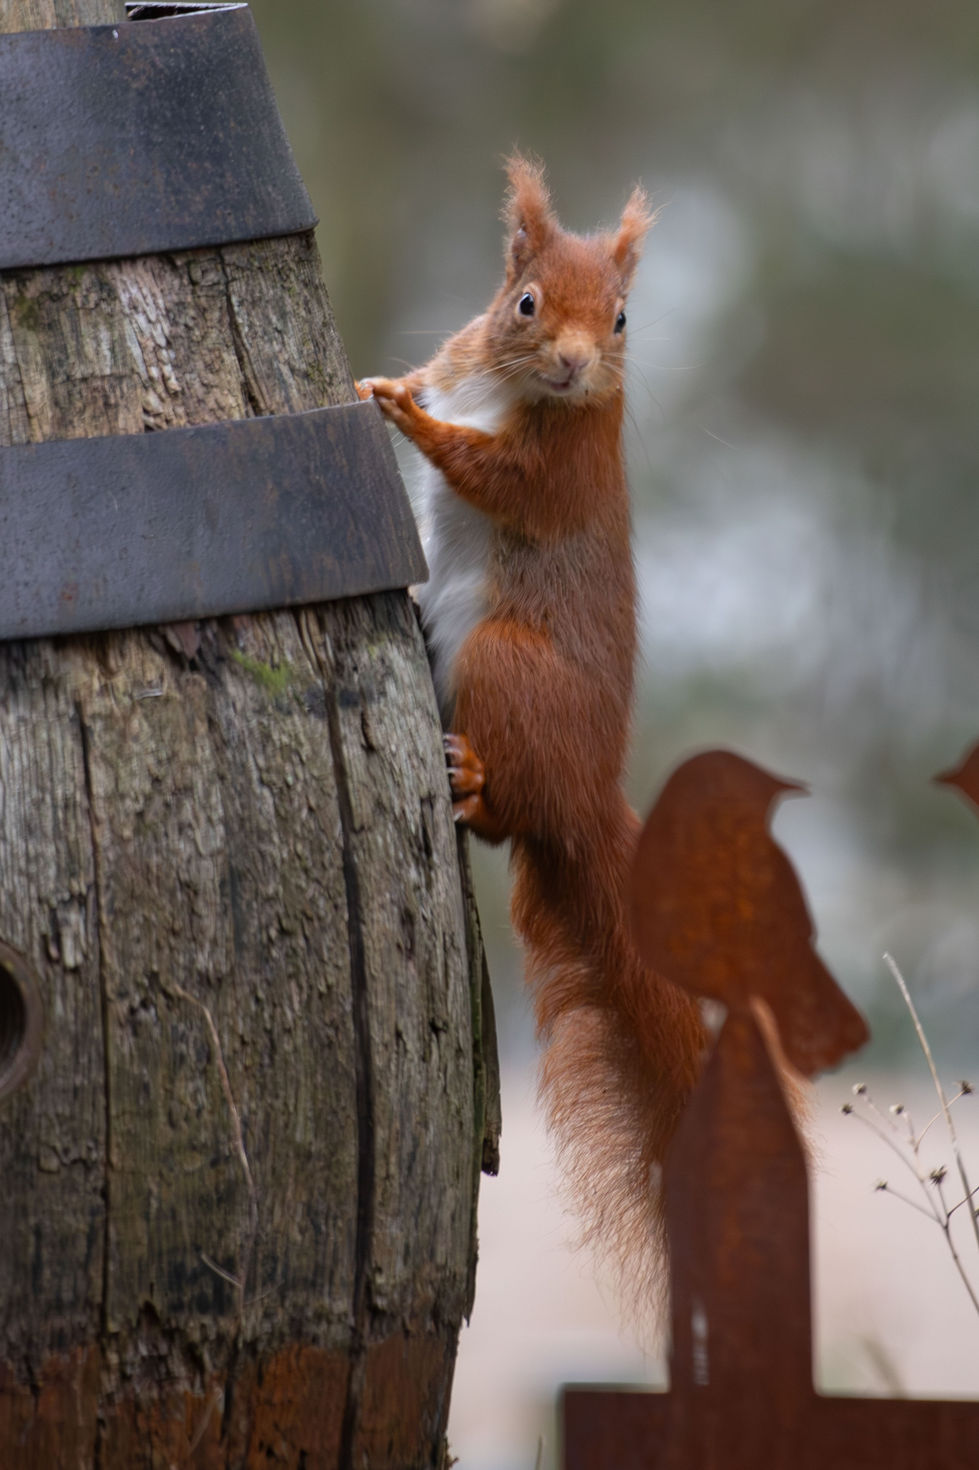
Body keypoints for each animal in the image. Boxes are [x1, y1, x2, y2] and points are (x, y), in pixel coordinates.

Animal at [357, 154, 707, 1303]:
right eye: (523, 302)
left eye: (623, 317)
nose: (571, 361)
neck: (514, 391)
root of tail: (587, 799)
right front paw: (393, 388)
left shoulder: (559, 468)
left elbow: (486, 471)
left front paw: (408, 421)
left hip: (502, 664)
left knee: (507, 814)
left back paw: (471, 781)